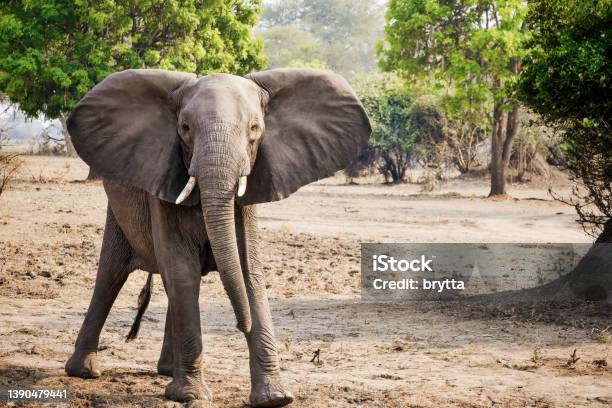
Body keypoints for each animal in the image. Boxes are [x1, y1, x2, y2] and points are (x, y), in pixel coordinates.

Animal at [63, 68, 368, 406]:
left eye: (255, 128)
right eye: (184, 129)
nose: (240, 323)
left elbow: (248, 272)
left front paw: (275, 397)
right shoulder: (164, 180)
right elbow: (182, 272)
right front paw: (190, 395)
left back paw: (167, 371)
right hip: (116, 210)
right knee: (111, 275)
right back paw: (85, 371)